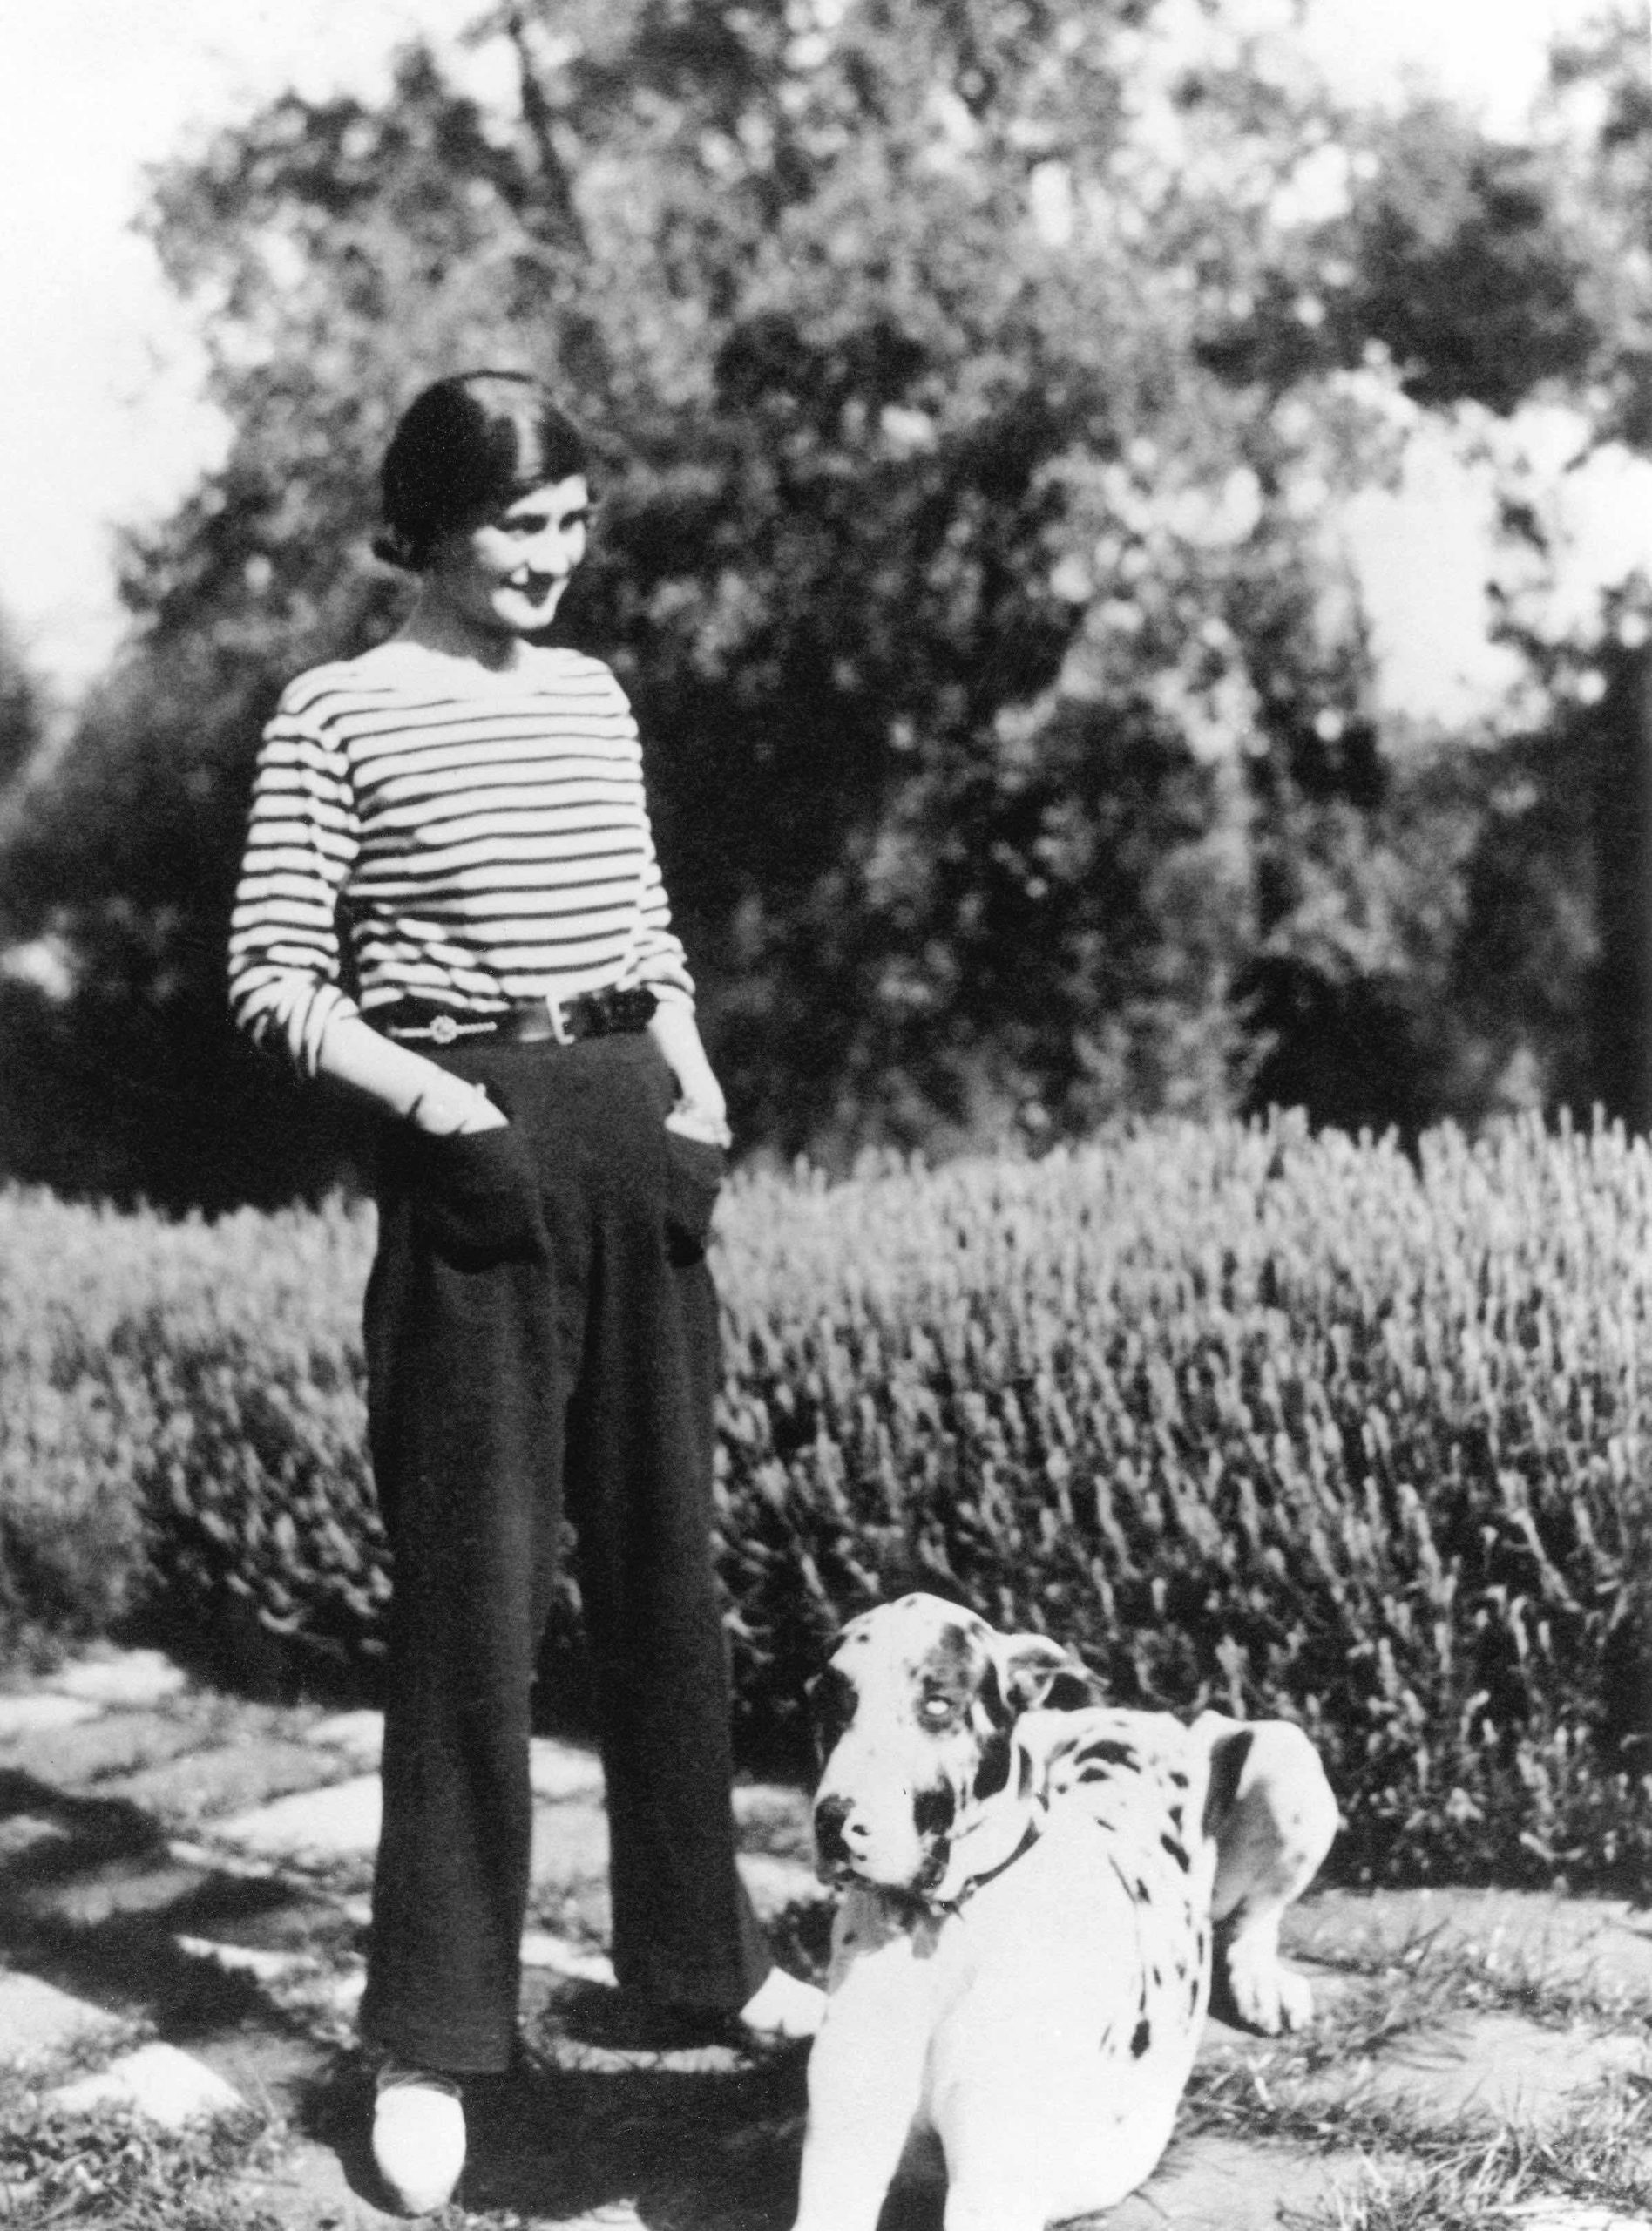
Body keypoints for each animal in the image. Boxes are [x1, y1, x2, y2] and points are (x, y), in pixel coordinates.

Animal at [789, 1597, 1337, 2221]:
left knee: (1253, 1920)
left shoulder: (991, 2187)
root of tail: (1155, 1718)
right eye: (829, 1704)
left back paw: (1263, 1983)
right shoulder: (844, 2153)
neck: (943, 1925)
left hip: (1286, 1752)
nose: (834, 1821)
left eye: (937, 1703)